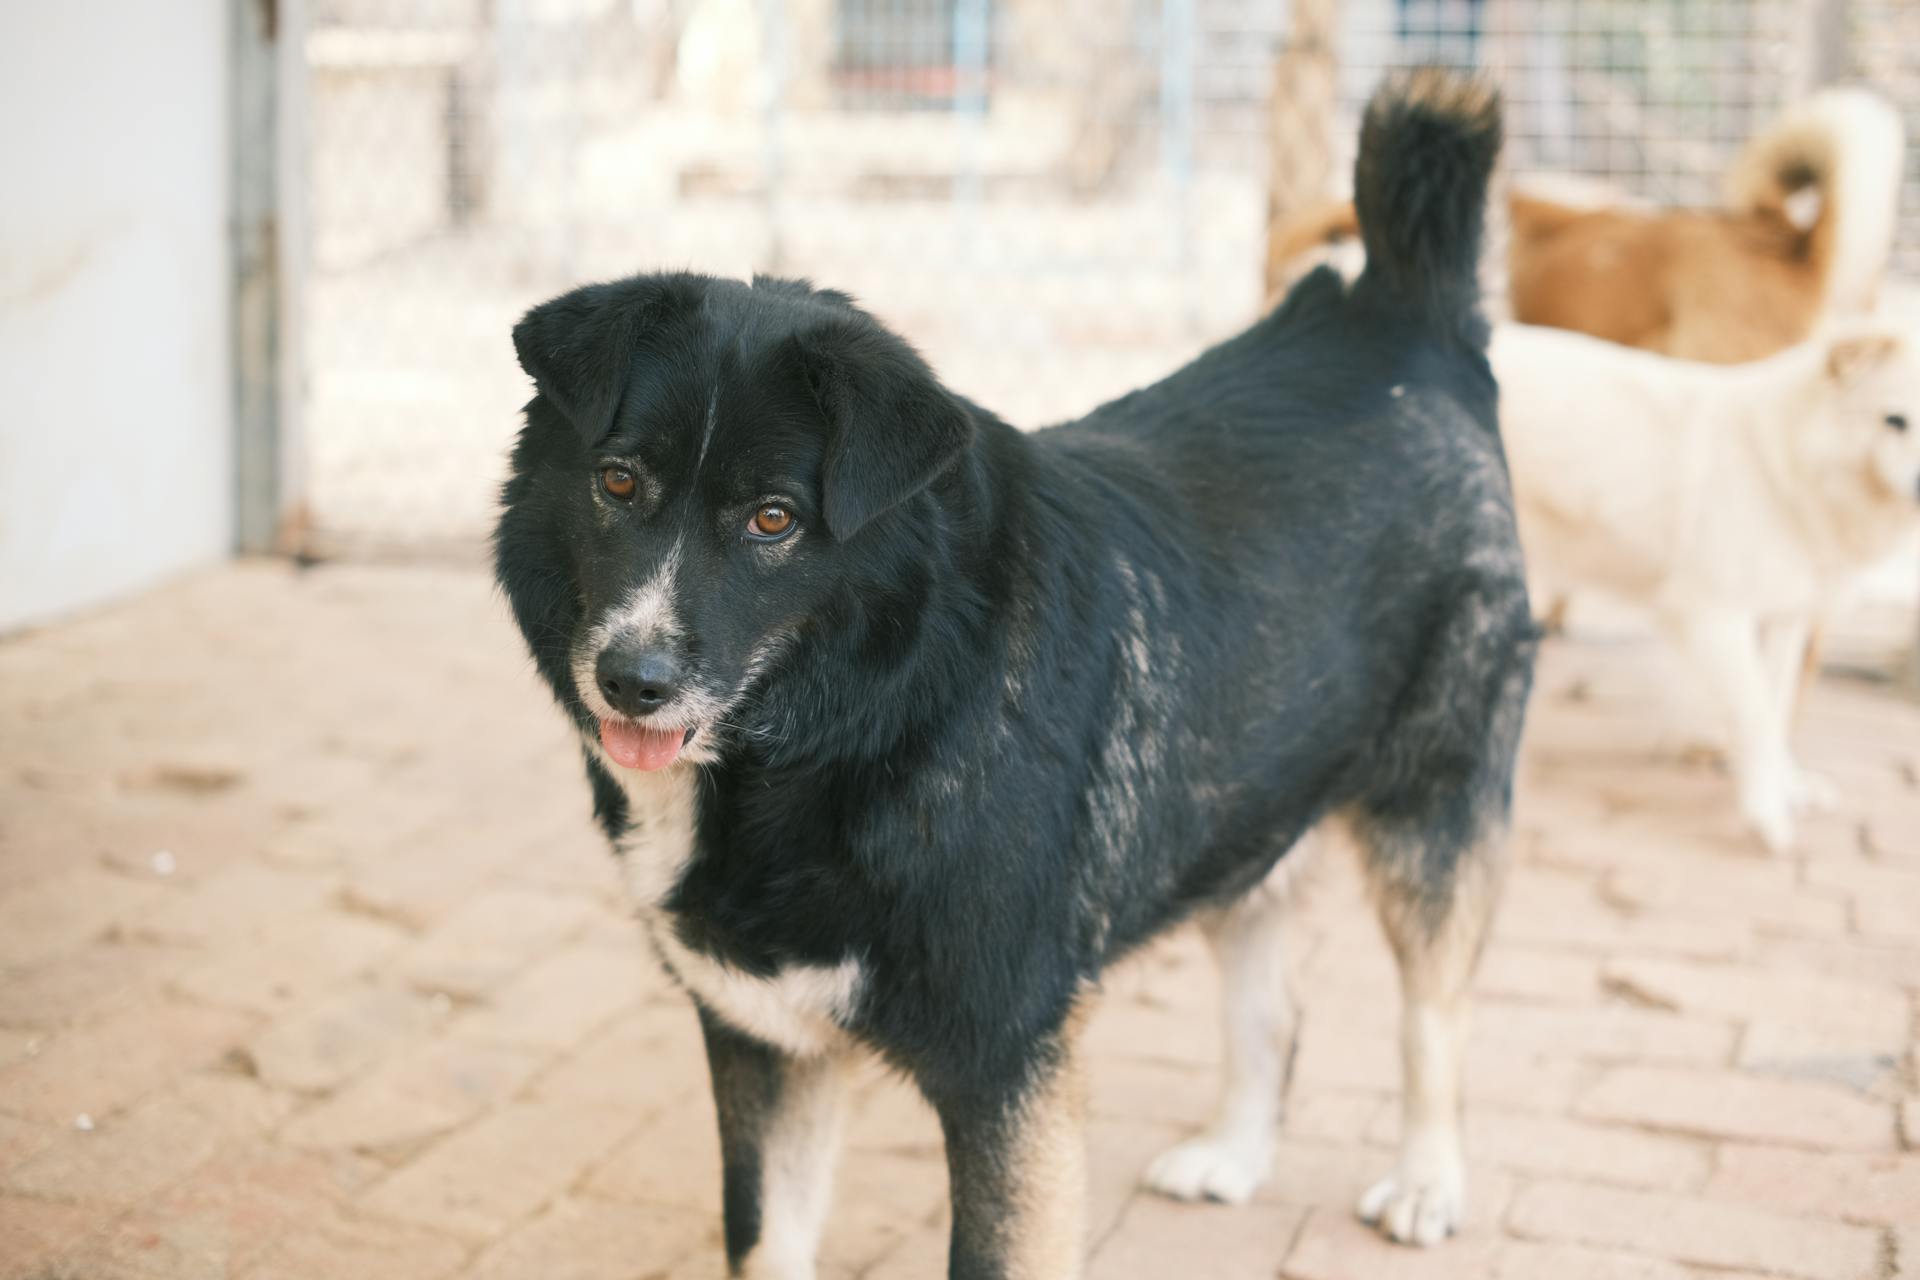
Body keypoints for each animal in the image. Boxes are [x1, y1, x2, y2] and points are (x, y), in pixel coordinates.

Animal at [495, 67, 1528, 1280]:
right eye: (617, 481)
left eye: (774, 519)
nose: (633, 678)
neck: (869, 719)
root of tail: (1400, 317)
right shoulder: (766, 1038)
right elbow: (766, 1243)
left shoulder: (1006, 1064)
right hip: (1242, 802)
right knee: (1271, 998)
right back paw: (1233, 1153)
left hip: (1433, 807)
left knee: (1435, 1015)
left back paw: (1426, 1181)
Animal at [1497, 320, 1920, 852]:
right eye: (1895, 421)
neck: (1782, 468)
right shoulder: (1715, 616)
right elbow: (1756, 714)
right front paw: (1766, 812)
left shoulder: (1784, 617)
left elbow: (1777, 705)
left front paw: (1789, 786)